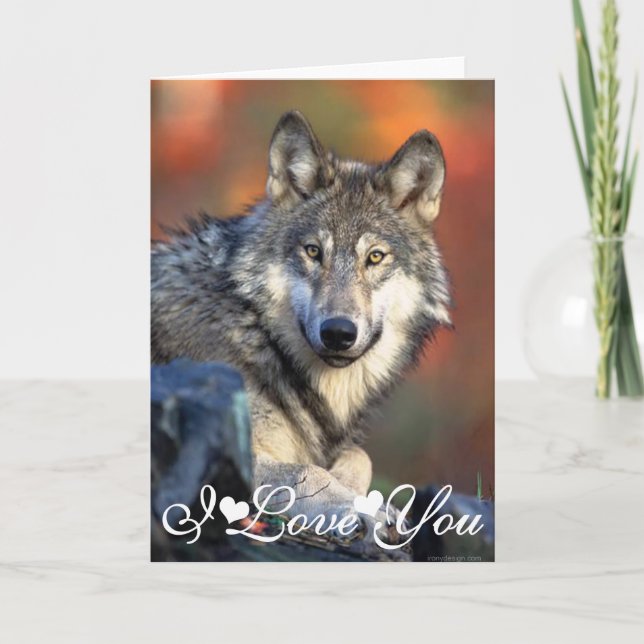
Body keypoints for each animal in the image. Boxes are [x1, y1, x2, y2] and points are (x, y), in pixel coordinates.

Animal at [152, 111, 451, 548]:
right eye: (313, 252)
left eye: (375, 257)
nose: (338, 332)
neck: (258, 334)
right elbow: (309, 472)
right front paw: (362, 509)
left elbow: (359, 456)